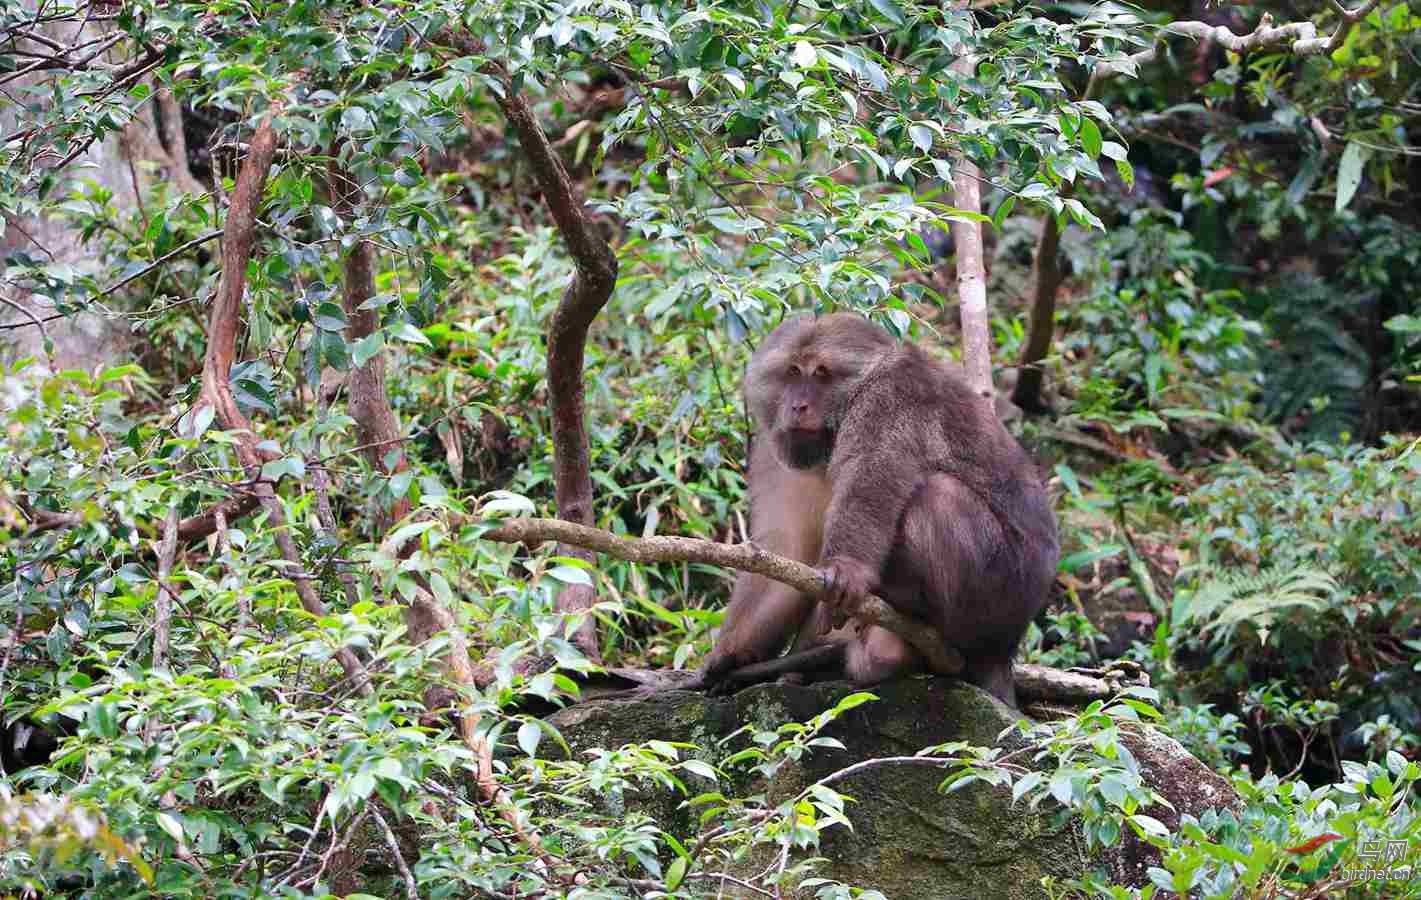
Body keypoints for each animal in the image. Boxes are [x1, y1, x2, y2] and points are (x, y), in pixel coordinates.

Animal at [699, 312, 1057, 705]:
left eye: (821, 373)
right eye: (792, 372)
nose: (798, 407)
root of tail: (1005, 653)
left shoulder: (891, 397)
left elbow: (873, 476)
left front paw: (845, 570)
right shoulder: (773, 452)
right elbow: (787, 549)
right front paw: (732, 654)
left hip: (1004, 592)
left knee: (938, 493)